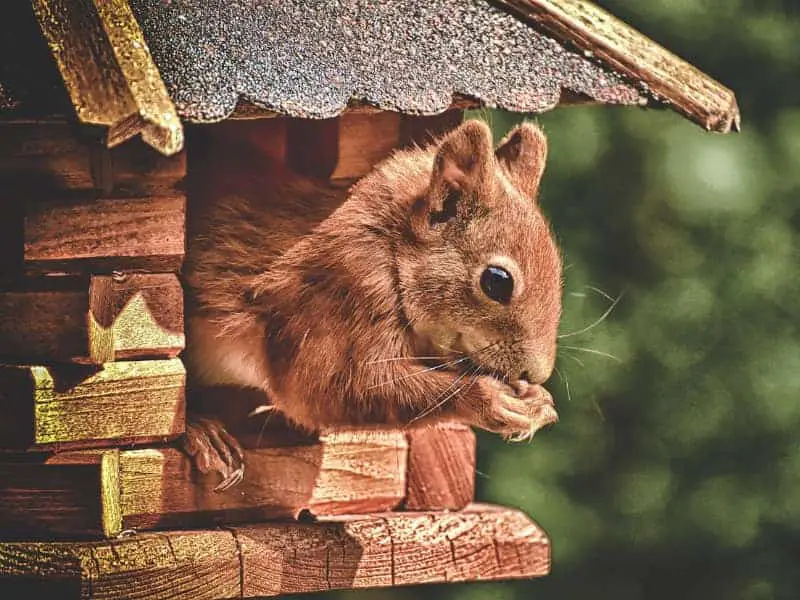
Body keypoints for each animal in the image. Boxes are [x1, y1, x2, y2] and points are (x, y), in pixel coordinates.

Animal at [184, 118, 564, 488]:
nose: (535, 373)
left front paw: (538, 400)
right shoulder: (337, 294)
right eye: (497, 282)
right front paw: (492, 399)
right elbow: (330, 389)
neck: (390, 247)